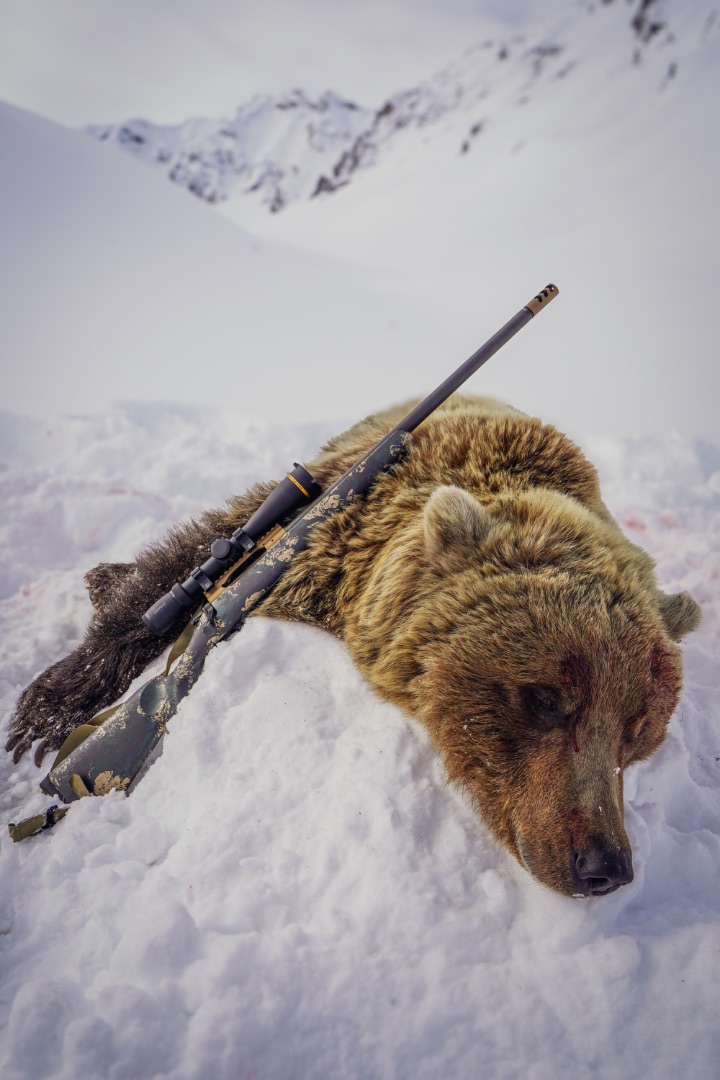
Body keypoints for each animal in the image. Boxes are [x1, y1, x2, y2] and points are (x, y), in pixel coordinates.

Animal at [5, 395, 702, 898]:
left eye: (636, 733)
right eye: (547, 698)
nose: (605, 865)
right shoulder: (317, 529)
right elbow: (186, 567)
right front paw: (43, 714)